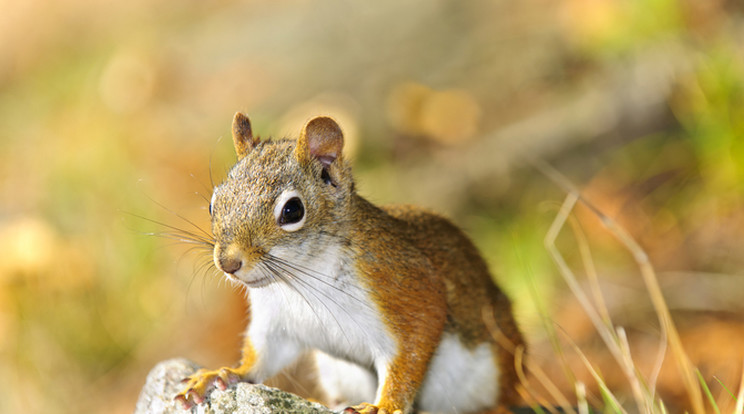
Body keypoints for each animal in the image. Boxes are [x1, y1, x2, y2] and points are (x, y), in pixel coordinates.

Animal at [174, 113, 524, 414]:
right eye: (213, 203)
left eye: (292, 211)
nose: (228, 262)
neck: (300, 279)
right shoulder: (276, 324)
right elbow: (261, 359)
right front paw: (222, 373)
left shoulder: (404, 287)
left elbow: (411, 350)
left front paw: (384, 406)